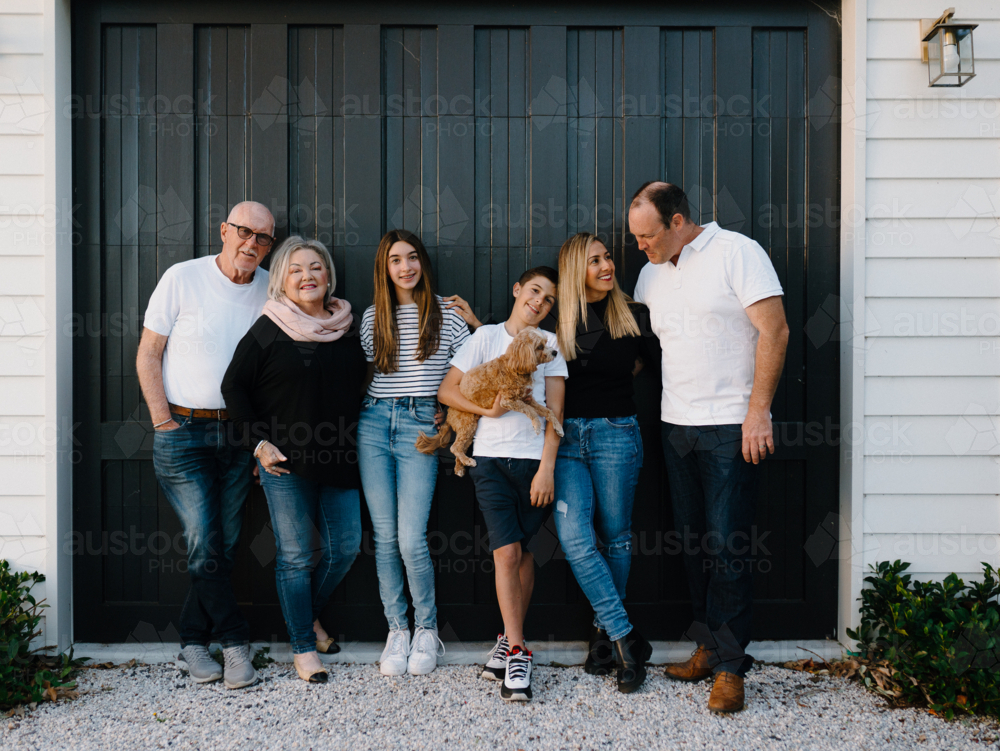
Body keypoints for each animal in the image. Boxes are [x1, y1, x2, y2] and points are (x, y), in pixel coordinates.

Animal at [416, 328, 564, 476]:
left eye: (546, 342)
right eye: (540, 347)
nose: (555, 352)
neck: (515, 366)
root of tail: (449, 413)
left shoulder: (527, 399)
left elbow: (548, 411)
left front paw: (558, 428)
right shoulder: (508, 401)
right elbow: (531, 411)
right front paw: (537, 425)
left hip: (470, 430)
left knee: (460, 448)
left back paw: (460, 467)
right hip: (467, 423)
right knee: (455, 447)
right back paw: (468, 461)